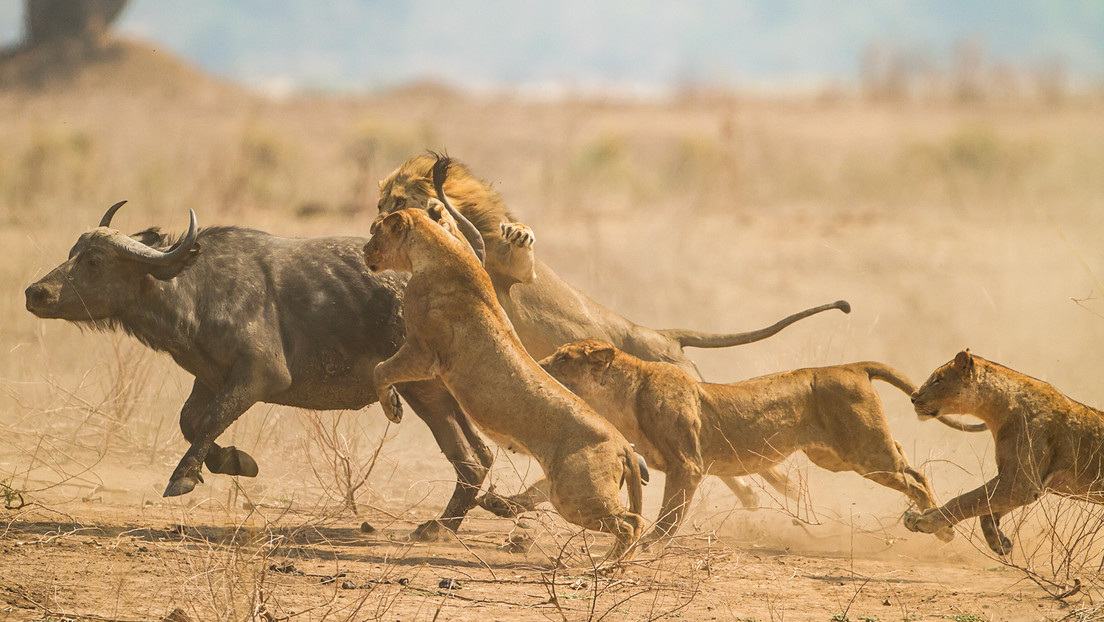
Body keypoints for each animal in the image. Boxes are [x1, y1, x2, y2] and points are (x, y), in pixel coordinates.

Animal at [24, 203, 492, 541]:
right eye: (72, 253)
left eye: (95, 260)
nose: (35, 293)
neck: (196, 289)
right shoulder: (209, 376)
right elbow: (189, 421)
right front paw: (234, 460)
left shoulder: (259, 376)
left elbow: (209, 419)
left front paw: (183, 477)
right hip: (441, 392)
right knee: (479, 455)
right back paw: (455, 520)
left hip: (422, 389)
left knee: (469, 457)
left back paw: (440, 527)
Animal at [362, 205, 644, 565]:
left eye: (376, 231)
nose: (364, 251)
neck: (438, 251)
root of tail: (623, 444)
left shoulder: (423, 353)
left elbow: (379, 370)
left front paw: (392, 408)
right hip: (566, 486)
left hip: (576, 495)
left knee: (631, 522)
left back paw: (609, 565)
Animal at [379, 154, 852, 517]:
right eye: (382, 201)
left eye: (395, 200)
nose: (379, 218)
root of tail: (662, 335)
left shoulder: (518, 275)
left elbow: (518, 253)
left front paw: (517, 233)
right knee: (726, 464)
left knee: (745, 456)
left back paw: (787, 492)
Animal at [487, 338, 980, 543]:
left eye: (561, 359)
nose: (535, 365)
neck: (622, 397)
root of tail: (851, 365)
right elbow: (540, 489)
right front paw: (503, 503)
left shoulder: (687, 465)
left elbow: (668, 517)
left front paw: (649, 547)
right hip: (835, 457)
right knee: (908, 465)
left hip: (863, 452)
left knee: (915, 477)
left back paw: (941, 530)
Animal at [900, 353, 1104, 556]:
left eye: (937, 380)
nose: (913, 398)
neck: (995, 410)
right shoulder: (1025, 485)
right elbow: (985, 508)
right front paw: (998, 541)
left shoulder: (1020, 484)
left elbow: (966, 500)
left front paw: (926, 521)